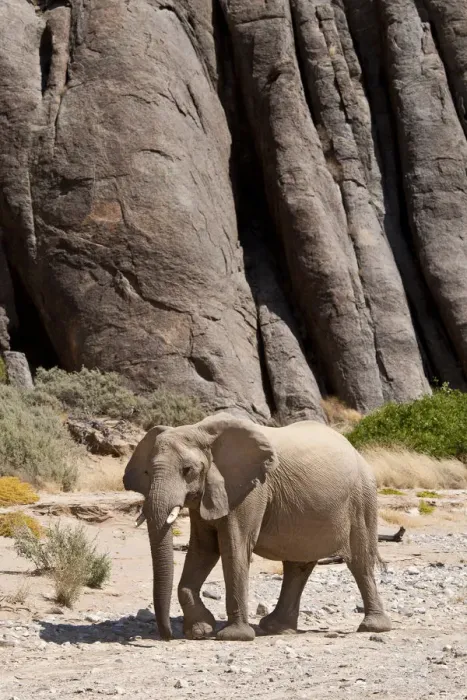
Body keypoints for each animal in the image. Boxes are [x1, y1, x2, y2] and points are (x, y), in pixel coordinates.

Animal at [123, 412, 392, 642]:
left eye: (187, 470)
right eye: (147, 472)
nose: (166, 635)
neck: (202, 430)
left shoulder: (251, 490)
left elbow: (234, 547)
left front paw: (233, 636)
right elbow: (203, 549)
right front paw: (200, 631)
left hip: (362, 497)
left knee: (359, 561)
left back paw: (372, 627)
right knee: (298, 565)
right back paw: (276, 628)